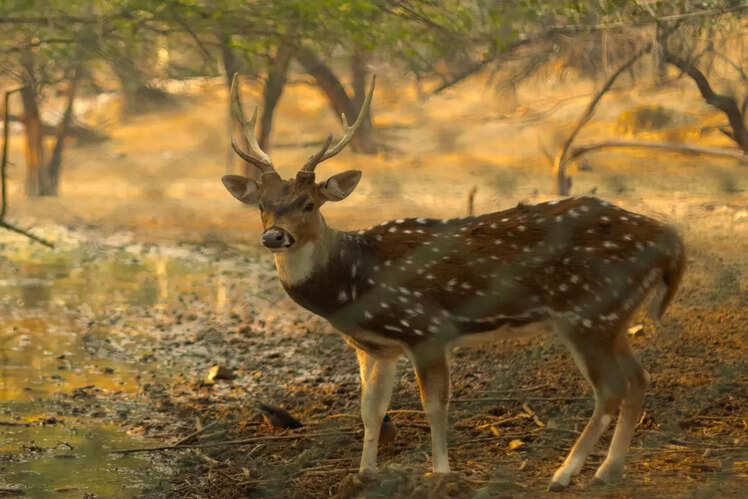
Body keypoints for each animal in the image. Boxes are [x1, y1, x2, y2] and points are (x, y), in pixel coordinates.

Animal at [221, 74, 685, 491]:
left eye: (308, 203)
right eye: (262, 205)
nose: (274, 236)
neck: (351, 281)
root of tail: (669, 241)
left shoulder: (425, 328)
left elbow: (435, 406)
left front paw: (441, 473)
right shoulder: (374, 347)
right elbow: (371, 410)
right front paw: (365, 473)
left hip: (588, 312)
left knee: (611, 388)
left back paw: (565, 474)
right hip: (613, 316)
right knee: (639, 379)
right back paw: (609, 470)